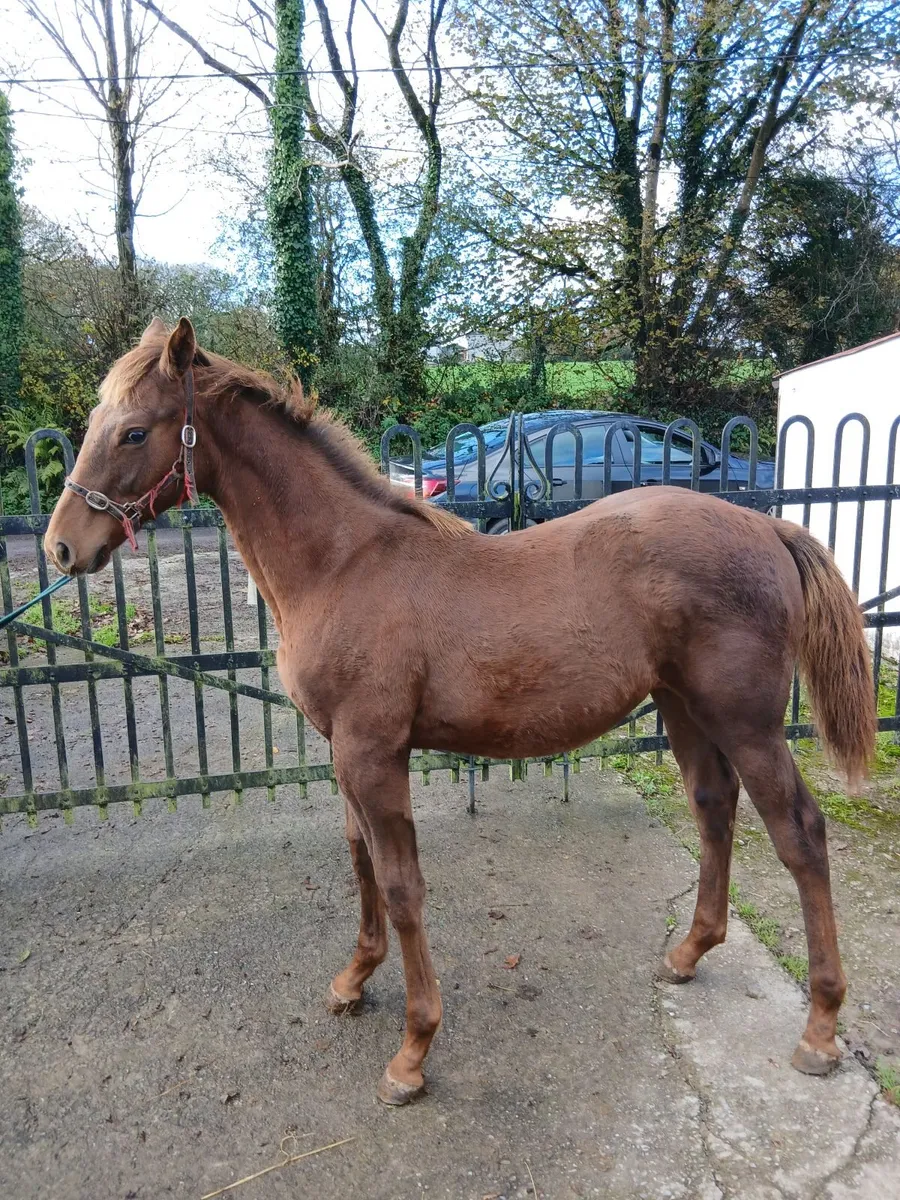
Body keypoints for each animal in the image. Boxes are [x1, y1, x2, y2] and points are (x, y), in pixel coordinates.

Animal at [45, 318, 875, 1105]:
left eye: (133, 431)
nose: (60, 547)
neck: (342, 565)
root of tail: (769, 525)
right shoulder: (346, 753)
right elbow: (362, 863)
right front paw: (354, 981)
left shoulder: (374, 753)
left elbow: (402, 885)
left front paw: (413, 1052)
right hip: (683, 707)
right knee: (713, 806)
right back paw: (688, 954)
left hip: (747, 722)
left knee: (800, 834)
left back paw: (820, 1027)